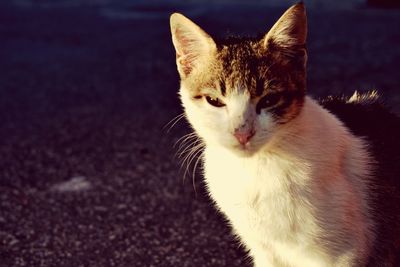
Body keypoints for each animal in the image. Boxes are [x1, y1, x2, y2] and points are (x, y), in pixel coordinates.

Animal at [170, 2, 400, 267]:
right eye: (214, 101)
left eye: (269, 100)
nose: (242, 133)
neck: (257, 168)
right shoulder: (265, 251)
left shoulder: (343, 255)